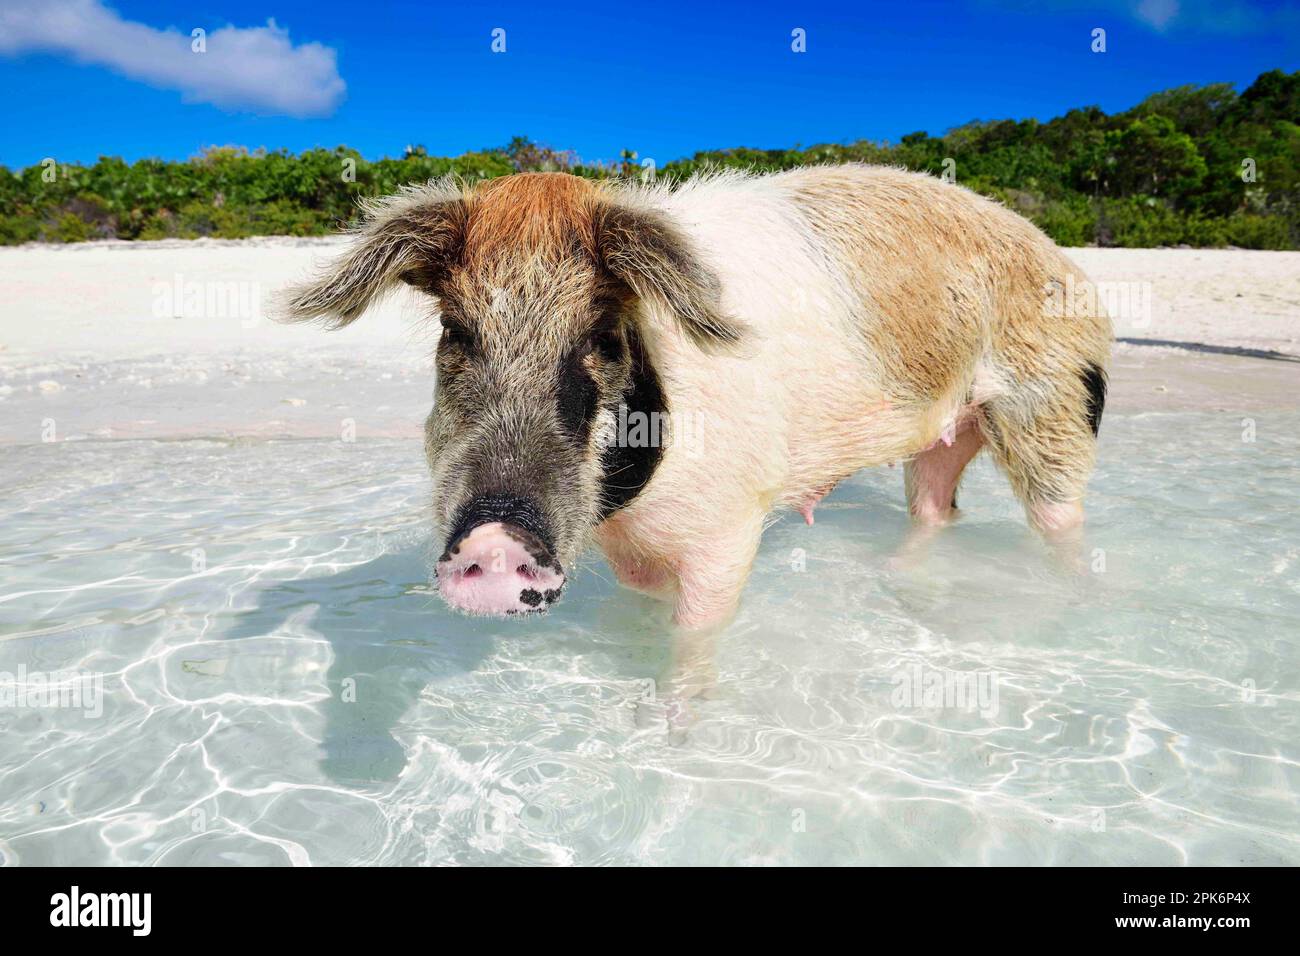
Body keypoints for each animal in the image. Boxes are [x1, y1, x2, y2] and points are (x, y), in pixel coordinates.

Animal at [279, 166, 1112, 629]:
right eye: (456, 330)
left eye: (602, 335)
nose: (494, 537)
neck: (623, 510)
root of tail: (1076, 273)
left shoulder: (733, 522)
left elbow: (698, 637)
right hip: (950, 429)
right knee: (937, 506)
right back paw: (900, 579)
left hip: (1055, 400)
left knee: (1061, 514)